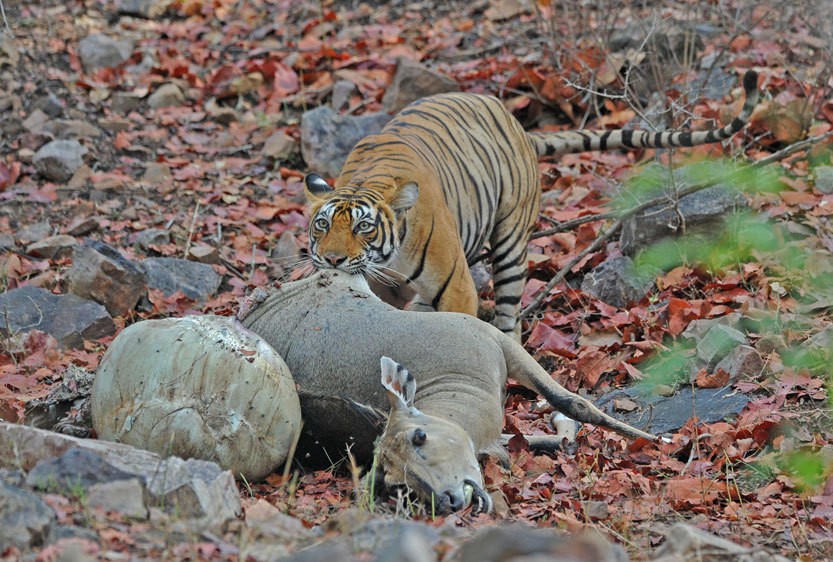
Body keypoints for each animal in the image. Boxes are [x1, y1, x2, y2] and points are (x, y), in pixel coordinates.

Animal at [302, 67, 756, 334]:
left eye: (363, 227)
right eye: (322, 225)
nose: (333, 259)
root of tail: (513, 119)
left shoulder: (456, 289)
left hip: (510, 243)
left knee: (507, 317)